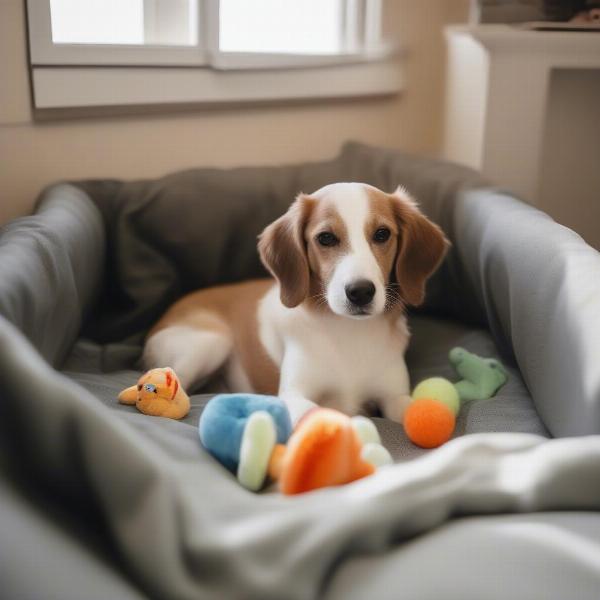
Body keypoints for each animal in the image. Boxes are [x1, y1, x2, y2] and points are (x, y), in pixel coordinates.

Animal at [143, 183, 448, 422]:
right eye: (326, 238)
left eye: (382, 234)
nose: (360, 291)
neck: (348, 333)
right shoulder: (293, 395)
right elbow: (317, 413)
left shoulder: (394, 396)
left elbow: (415, 409)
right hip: (212, 341)